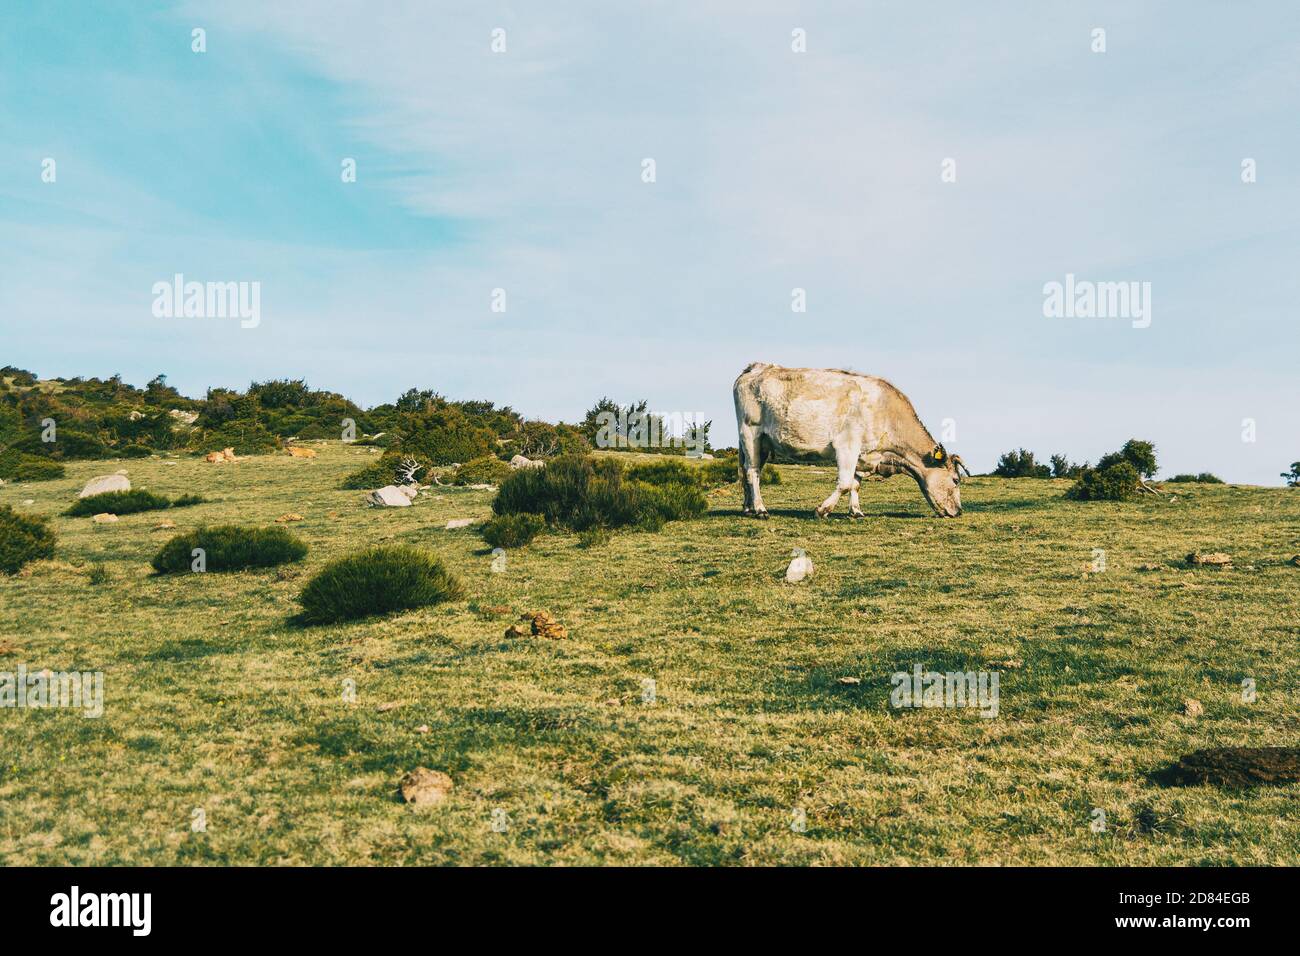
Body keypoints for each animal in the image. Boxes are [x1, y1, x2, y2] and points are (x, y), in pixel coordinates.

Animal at [733, 362, 968, 518]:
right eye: (955, 480)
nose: (959, 511)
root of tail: (756, 367)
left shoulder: (864, 454)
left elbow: (855, 484)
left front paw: (856, 511)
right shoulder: (847, 446)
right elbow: (845, 483)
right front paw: (822, 510)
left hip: (762, 443)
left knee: (747, 471)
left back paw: (748, 507)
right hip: (751, 433)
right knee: (753, 472)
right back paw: (761, 509)